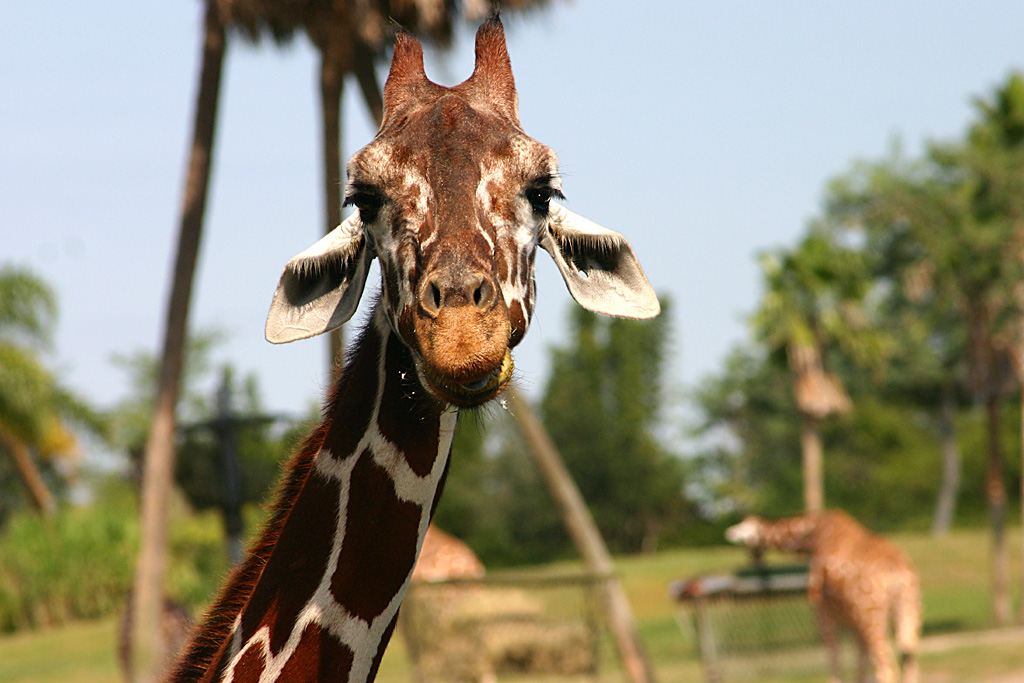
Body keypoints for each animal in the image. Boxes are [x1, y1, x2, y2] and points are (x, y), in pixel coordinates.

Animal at [725, 510, 921, 683]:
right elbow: (860, 668)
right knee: (908, 656)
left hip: (871, 614)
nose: (755, 557)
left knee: (886, 666)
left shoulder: (822, 612)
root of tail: (897, 570)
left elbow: (835, 662)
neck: (813, 536)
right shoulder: (854, 622)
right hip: (908, 607)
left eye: (745, 534)